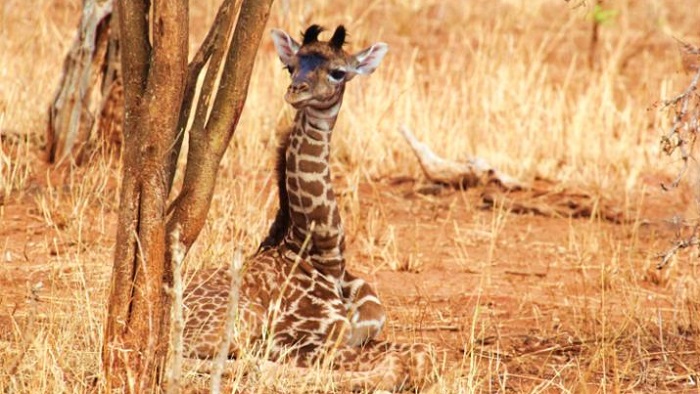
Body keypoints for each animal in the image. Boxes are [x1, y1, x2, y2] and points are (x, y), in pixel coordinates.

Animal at [182, 24, 432, 390]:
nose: (295, 91)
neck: (326, 256)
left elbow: (420, 354)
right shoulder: (295, 336)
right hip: (242, 321)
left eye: (338, 72)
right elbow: (399, 363)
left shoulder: (363, 333)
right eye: (291, 66)